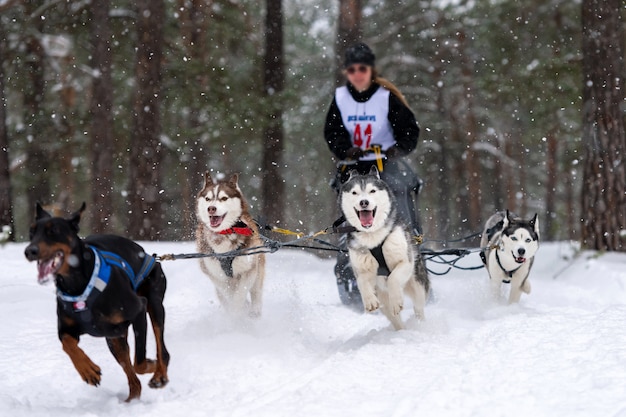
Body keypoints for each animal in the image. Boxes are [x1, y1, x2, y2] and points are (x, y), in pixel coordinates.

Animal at [24, 203, 168, 402]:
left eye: (53, 231)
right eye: (31, 232)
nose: (29, 251)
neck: (77, 285)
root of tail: (151, 256)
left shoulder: (139, 309)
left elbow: (139, 363)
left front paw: (151, 365)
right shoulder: (66, 329)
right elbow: (67, 344)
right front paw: (88, 371)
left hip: (154, 303)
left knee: (162, 350)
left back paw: (160, 375)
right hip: (114, 338)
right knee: (131, 372)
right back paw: (131, 399)